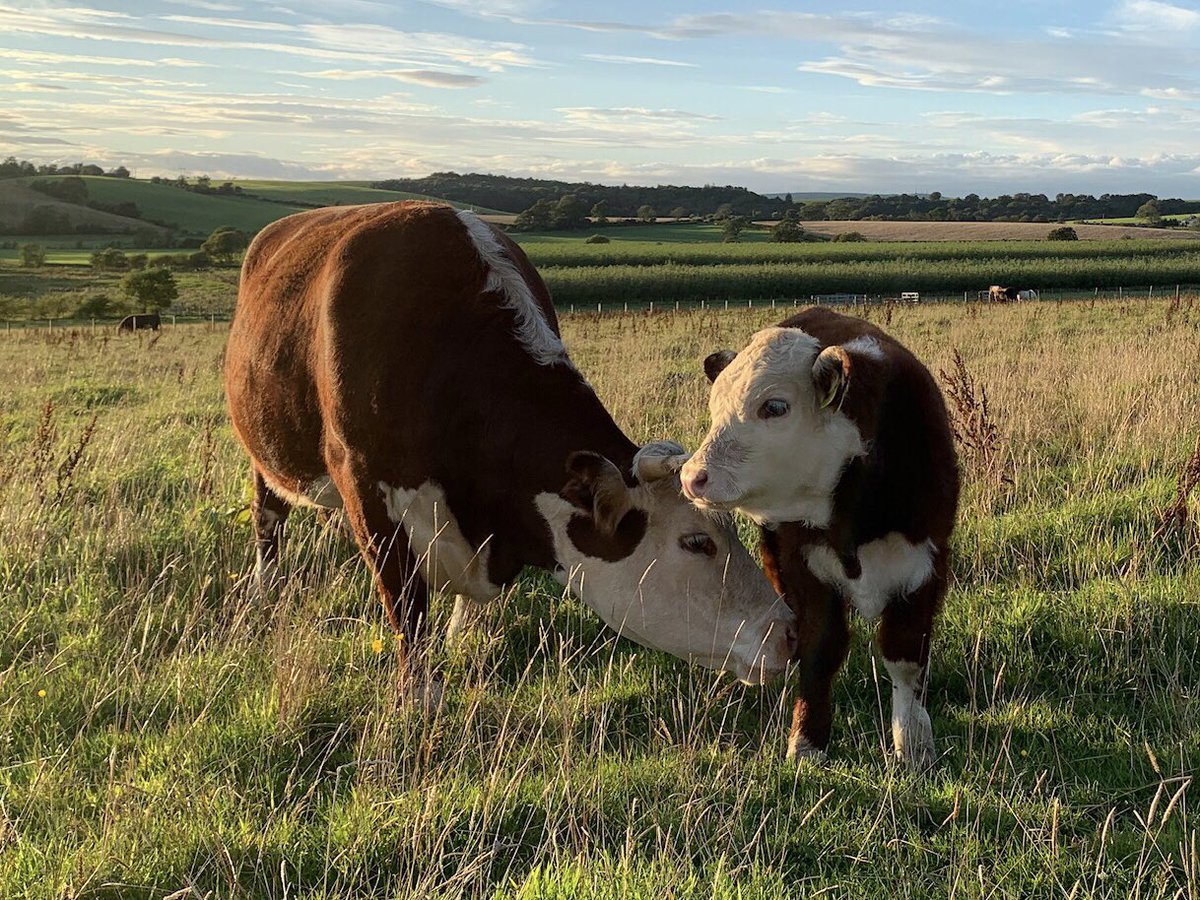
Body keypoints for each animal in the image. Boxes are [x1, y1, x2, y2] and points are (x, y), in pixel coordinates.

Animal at [224, 201, 795, 701]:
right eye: (697, 542)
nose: (789, 634)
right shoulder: (368, 493)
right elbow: (405, 606)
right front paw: (421, 699)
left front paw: (463, 641)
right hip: (261, 450)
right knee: (267, 518)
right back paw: (265, 589)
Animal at [681, 307, 959, 769]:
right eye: (715, 406)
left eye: (775, 406)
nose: (691, 476)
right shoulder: (802, 565)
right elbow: (819, 650)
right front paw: (807, 741)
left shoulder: (925, 565)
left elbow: (904, 656)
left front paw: (914, 744)